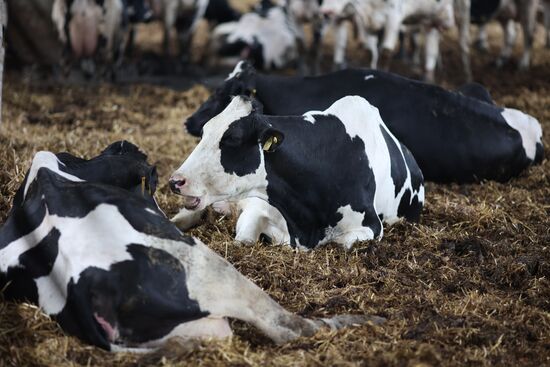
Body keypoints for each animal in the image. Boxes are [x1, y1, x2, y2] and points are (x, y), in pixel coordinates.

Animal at [171, 95, 426, 250]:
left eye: (232, 138)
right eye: (204, 131)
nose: (175, 180)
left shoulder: (372, 226)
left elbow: (340, 243)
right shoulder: (258, 207)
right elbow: (244, 241)